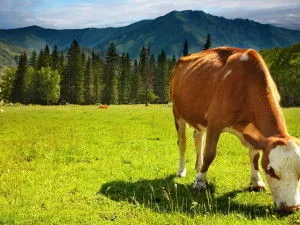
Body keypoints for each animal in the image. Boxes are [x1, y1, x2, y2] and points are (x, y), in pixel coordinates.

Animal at [170, 46, 300, 212]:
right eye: (271, 170)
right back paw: (182, 170)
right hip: (177, 112)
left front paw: (256, 182)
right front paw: (200, 182)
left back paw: (198, 166)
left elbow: (255, 156)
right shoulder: (215, 122)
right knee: (182, 142)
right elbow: (209, 154)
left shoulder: (255, 133)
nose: (292, 207)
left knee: (198, 138)